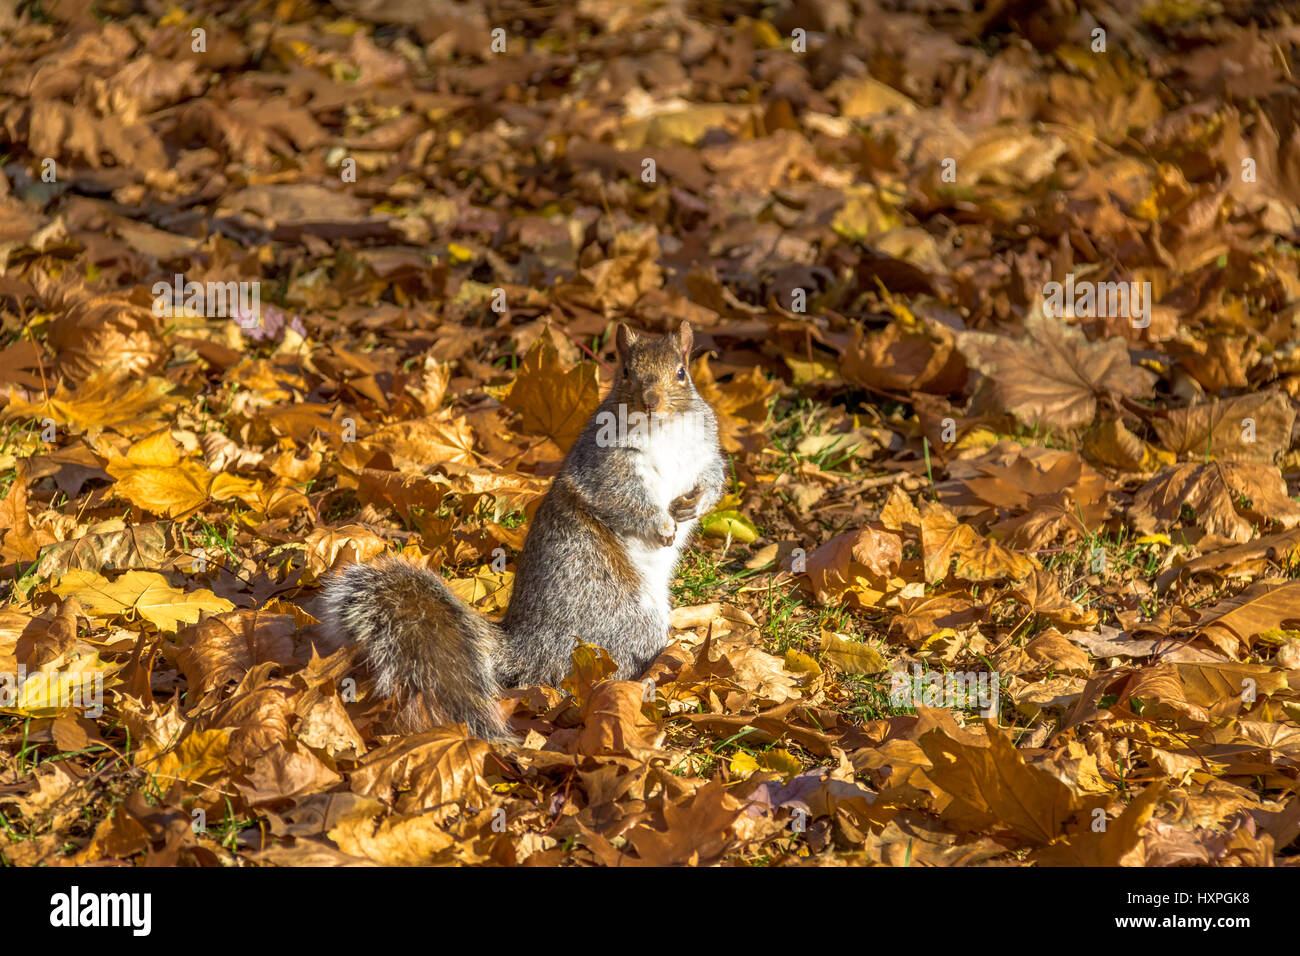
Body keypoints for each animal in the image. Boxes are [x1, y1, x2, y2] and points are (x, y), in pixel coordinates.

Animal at [319, 321, 728, 738]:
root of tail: (529, 645)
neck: (661, 428)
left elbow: (712, 480)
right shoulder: (606, 467)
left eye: (682, 373)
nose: (651, 401)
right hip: (617, 608)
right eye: (626, 372)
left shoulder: (704, 451)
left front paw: (694, 505)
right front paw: (661, 524)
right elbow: (623, 499)